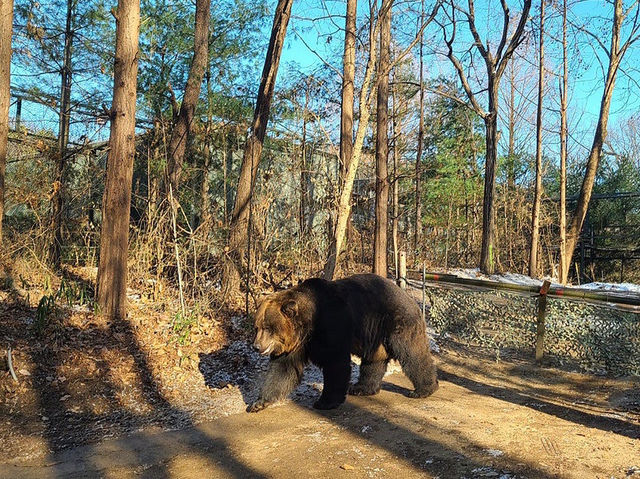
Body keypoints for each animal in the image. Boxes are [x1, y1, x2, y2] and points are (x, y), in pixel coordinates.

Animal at [248, 274, 438, 412]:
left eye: (268, 327)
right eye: (257, 327)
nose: (256, 346)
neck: (309, 326)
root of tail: (408, 296)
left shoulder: (331, 325)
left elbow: (336, 364)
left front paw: (324, 402)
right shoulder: (297, 345)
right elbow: (282, 370)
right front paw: (258, 403)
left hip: (397, 321)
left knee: (412, 353)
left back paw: (423, 389)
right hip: (375, 335)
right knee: (373, 362)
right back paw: (361, 387)